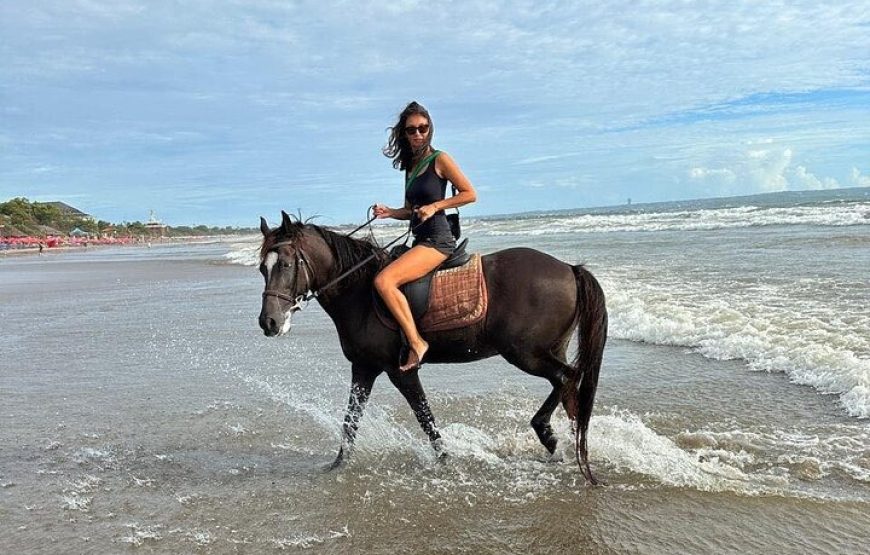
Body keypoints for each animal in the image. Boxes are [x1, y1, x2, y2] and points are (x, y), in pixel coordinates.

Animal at [258, 211, 608, 484]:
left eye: (286, 264)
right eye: (262, 267)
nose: (269, 322)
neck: (360, 292)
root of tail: (569, 268)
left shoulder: (401, 371)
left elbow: (424, 418)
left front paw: (445, 460)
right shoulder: (364, 369)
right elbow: (351, 422)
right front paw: (337, 465)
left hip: (526, 354)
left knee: (567, 378)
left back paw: (548, 435)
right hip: (548, 350)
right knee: (569, 390)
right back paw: (568, 445)